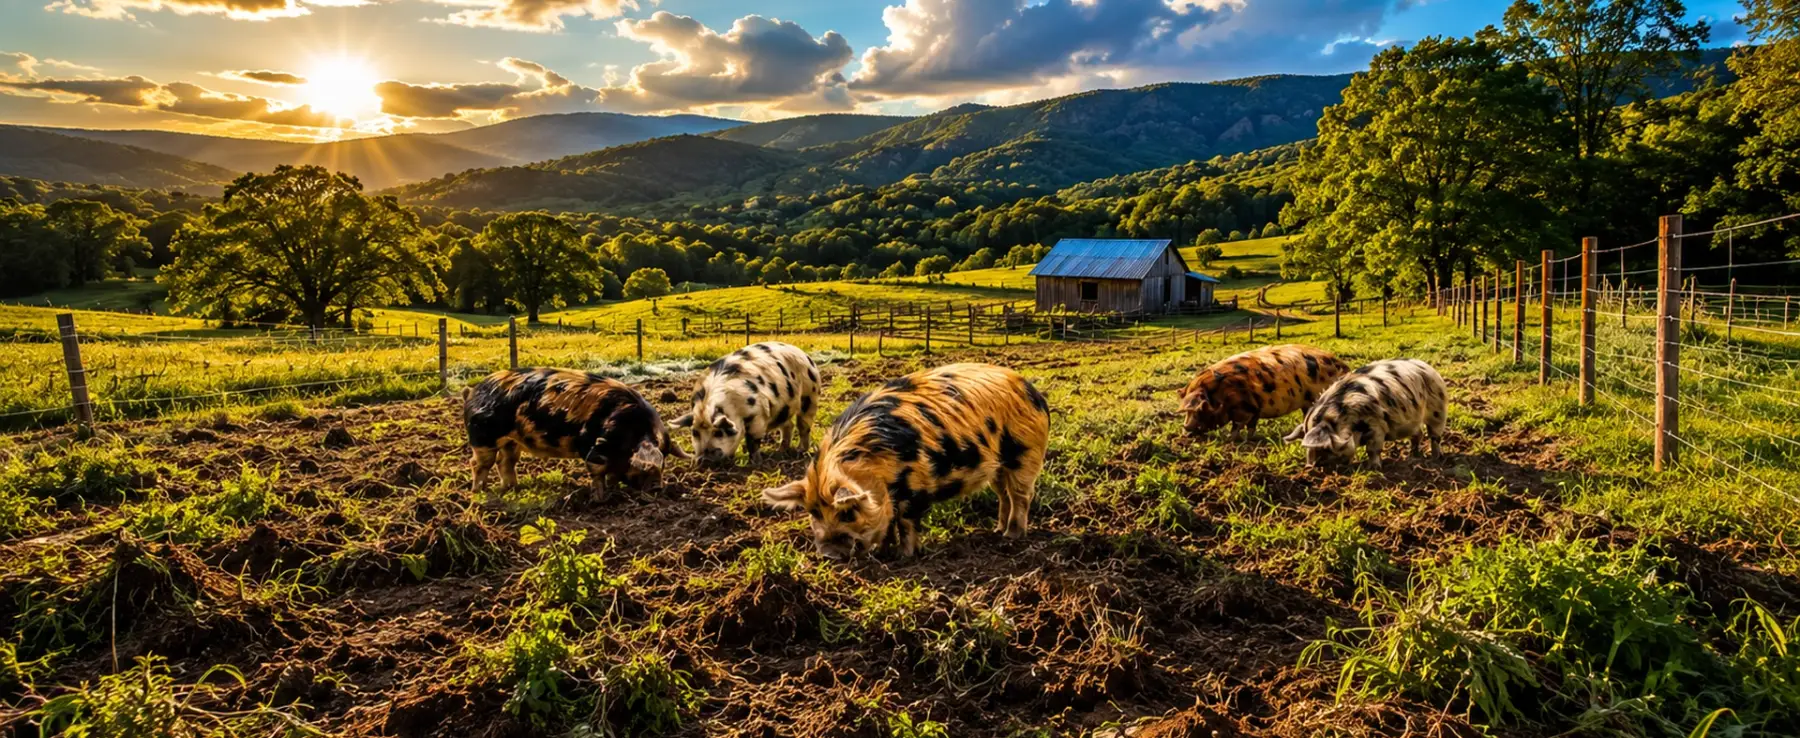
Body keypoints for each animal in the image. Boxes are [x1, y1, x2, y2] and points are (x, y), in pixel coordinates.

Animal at [463, 368, 688, 500]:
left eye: (664, 464)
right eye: (645, 466)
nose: (658, 487)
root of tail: (472, 392)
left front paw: (614, 489)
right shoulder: (591, 446)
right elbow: (598, 473)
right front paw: (599, 498)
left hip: (511, 441)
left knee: (505, 462)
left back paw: (513, 489)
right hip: (482, 437)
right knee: (479, 464)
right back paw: (479, 492)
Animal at [671, 341, 820, 463]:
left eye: (718, 433)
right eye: (694, 432)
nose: (703, 459)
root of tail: (804, 355)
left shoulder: (758, 415)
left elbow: (752, 440)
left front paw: (756, 462)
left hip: (810, 395)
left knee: (803, 426)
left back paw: (801, 451)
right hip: (784, 407)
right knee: (788, 425)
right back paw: (781, 450)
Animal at [761, 362, 1051, 560]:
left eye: (847, 512)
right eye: (814, 512)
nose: (829, 554)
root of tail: (1032, 390)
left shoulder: (916, 486)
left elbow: (906, 522)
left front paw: (905, 555)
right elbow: (888, 523)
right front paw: (882, 551)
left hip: (1025, 454)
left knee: (1021, 495)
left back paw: (1012, 536)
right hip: (999, 466)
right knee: (1003, 494)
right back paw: (998, 530)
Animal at [1177, 344, 1349, 438]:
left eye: (1201, 409)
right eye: (1186, 412)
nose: (1185, 433)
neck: (1222, 394)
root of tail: (1344, 366)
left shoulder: (1245, 409)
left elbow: (1238, 426)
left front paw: (1230, 439)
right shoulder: (1254, 410)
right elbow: (1251, 427)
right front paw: (1248, 439)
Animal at [1283, 358, 1448, 467]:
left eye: (1324, 448)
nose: (1309, 468)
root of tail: (1427, 366)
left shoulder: (1377, 426)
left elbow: (1373, 450)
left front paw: (1373, 468)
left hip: (1437, 409)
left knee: (1434, 436)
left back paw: (1435, 458)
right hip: (1413, 420)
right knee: (1418, 434)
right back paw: (1413, 456)